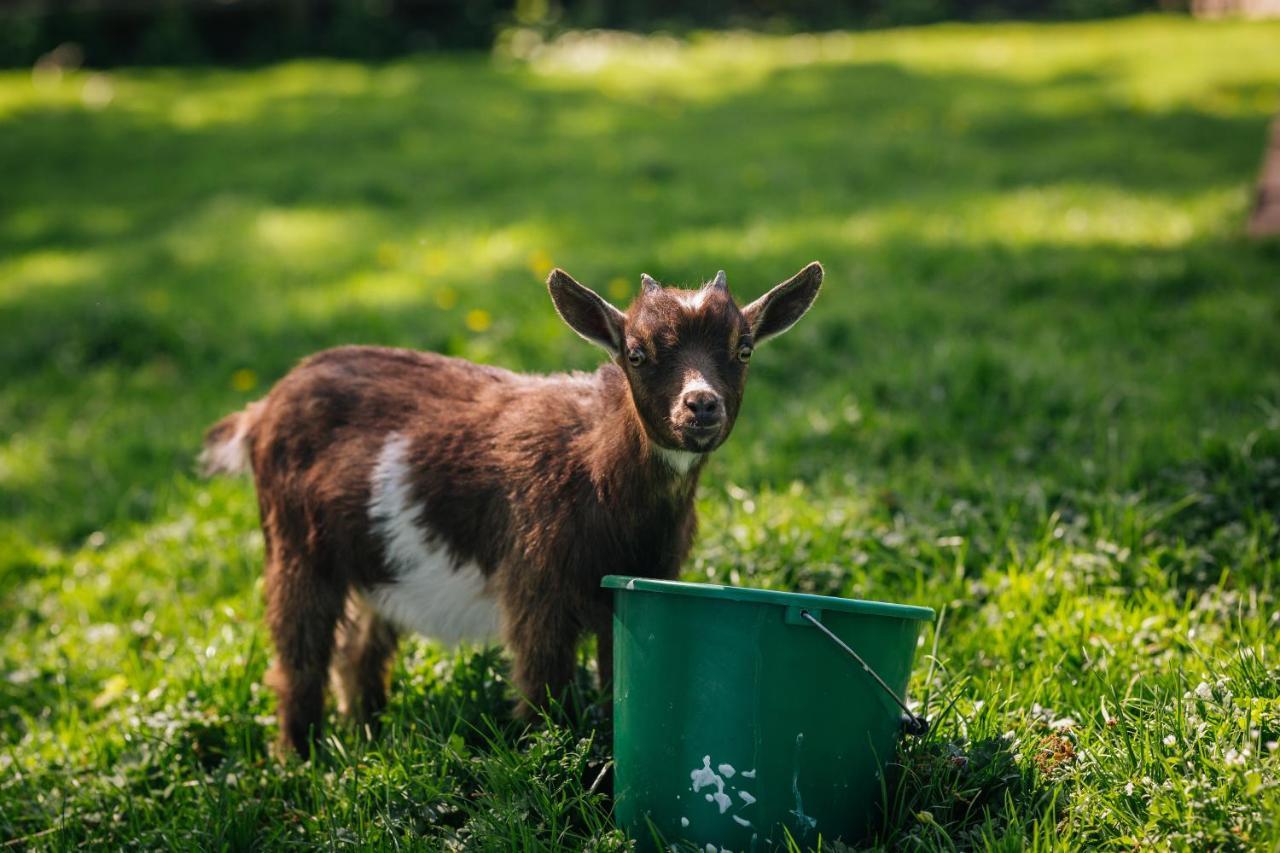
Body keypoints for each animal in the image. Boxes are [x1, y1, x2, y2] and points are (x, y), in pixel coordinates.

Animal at [199, 261, 819, 753]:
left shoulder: (639, 585)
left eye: (743, 349)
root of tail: (264, 408)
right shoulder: (536, 585)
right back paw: (299, 759)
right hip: (295, 545)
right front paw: (544, 757)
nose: (701, 406)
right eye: (637, 353)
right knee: (299, 656)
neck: (596, 468)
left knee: (360, 649)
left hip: (379, 561)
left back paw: (365, 734)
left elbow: (616, 682)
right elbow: (543, 687)